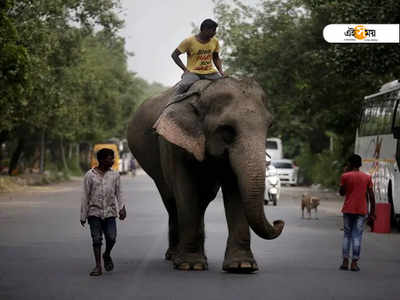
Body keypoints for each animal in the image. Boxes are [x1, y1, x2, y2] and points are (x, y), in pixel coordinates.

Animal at [128, 76, 284, 274]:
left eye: (269, 125)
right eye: (227, 129)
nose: (279, 221)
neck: (202, 94)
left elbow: (234, 189)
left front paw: (242, 266)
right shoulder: (174, 144)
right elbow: (185, 190)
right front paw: (190, 265)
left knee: (202, 201)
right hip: (155, 168)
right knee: (171, 201)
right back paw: (174, 256)